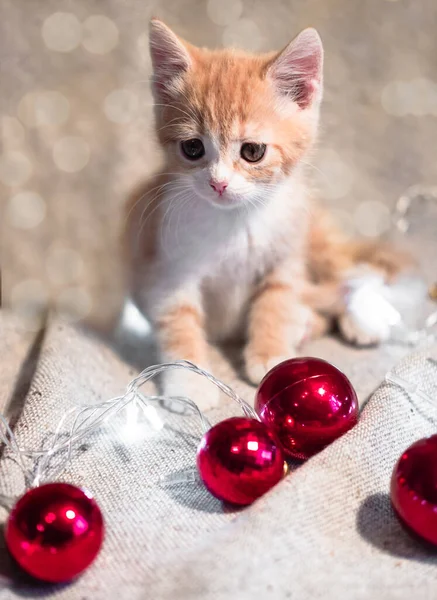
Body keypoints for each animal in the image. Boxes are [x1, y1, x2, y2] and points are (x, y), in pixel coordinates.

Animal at [123, 19, 408, 412]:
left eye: (252, 151)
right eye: (192, 148)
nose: (218, 184)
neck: (234, 223)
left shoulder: (286, 255)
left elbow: (277, 300)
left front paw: (272, 355)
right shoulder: (165, 261)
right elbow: (178, 319)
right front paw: (188, 379)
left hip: (315, 236)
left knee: (349, 272)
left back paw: (361, 317)